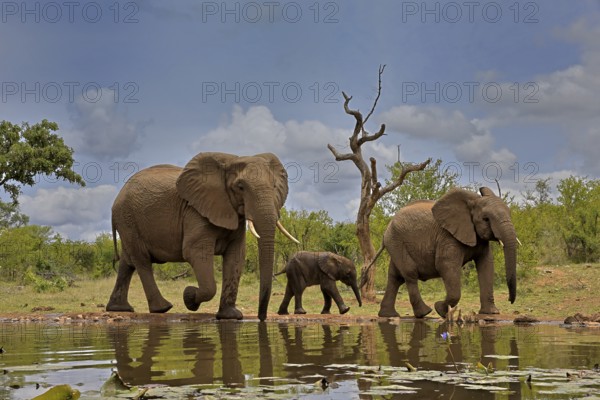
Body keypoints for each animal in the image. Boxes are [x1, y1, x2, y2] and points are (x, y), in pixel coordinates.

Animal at [107, 151, 298, 322]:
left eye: (274, 186)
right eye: (240, 187)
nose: (262, 318)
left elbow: (236, 256)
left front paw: (230, 316)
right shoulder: (195, 211)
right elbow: (195, 252)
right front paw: (189, 296)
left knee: (128, 261)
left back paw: (120, 308)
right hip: (128, 219)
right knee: (142, 260)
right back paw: (162, 308)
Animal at [376, 187, 516, 318]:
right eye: (486, 219)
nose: (510, 300)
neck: (473, 201)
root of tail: (387, 227)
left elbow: (486, 265)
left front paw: (491, 312)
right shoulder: (447, 236)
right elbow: (445, 265)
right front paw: (440, 310)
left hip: (394, 242)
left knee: (395, 277)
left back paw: (388, 315)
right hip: (396, 241)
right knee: (409, 273)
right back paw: (424, 313)